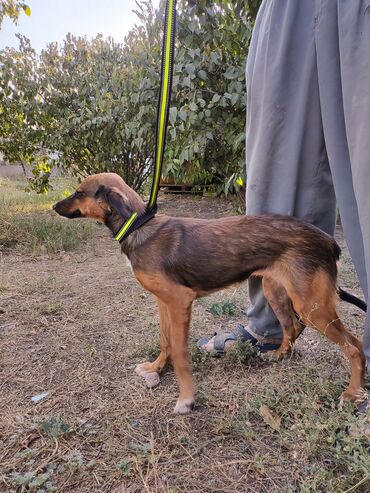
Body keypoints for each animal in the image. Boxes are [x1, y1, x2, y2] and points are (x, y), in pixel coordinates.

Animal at [53, 172, 366, 412]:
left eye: (79, 193)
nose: (54, 206)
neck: (138, 226)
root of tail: (327, 241)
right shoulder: (162, 301)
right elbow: (165, 341)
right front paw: (156, 368)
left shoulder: (180, 301)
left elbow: (180, 353)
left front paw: (186, 398)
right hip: (276, 291)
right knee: (292, 326)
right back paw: (279, 355)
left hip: (312, 305)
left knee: (354, 345)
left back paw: (353, 393)